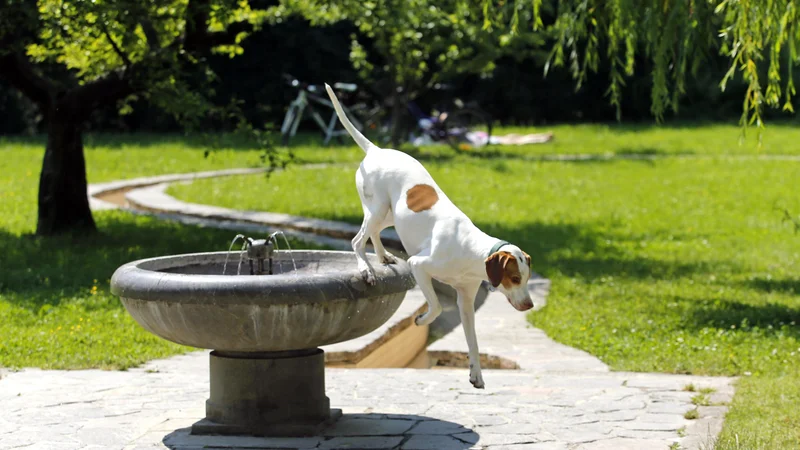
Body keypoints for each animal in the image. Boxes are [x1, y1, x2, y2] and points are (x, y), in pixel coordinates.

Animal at [324, 83, 532, 386]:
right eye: (515, 279)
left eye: (526, 279)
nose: (529, 305)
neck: (470, 250)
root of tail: (376, 150)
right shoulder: (419, 266)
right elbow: (435, 307)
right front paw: (421, 320)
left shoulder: (466, 301)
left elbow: (473, 341)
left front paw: (476, 373)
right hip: (377, 209)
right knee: (357, 240)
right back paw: (366, 268)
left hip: (389, 215)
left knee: (373, 234)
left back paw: (383, 257)